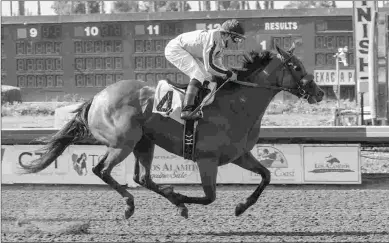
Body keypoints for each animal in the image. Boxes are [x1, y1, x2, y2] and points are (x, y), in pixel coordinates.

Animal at [19, 44, 324, 219]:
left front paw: (241, 206)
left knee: (141, 177)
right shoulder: (206, 160)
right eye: (296, 67)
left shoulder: (240, 155)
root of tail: (98, 97)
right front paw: (181, 199)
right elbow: (209, 196)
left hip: (143, 143)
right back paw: (131, 205)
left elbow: (266, 176)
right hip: (123, 143)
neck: (237, 104)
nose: (319, 92)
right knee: (102, 170)